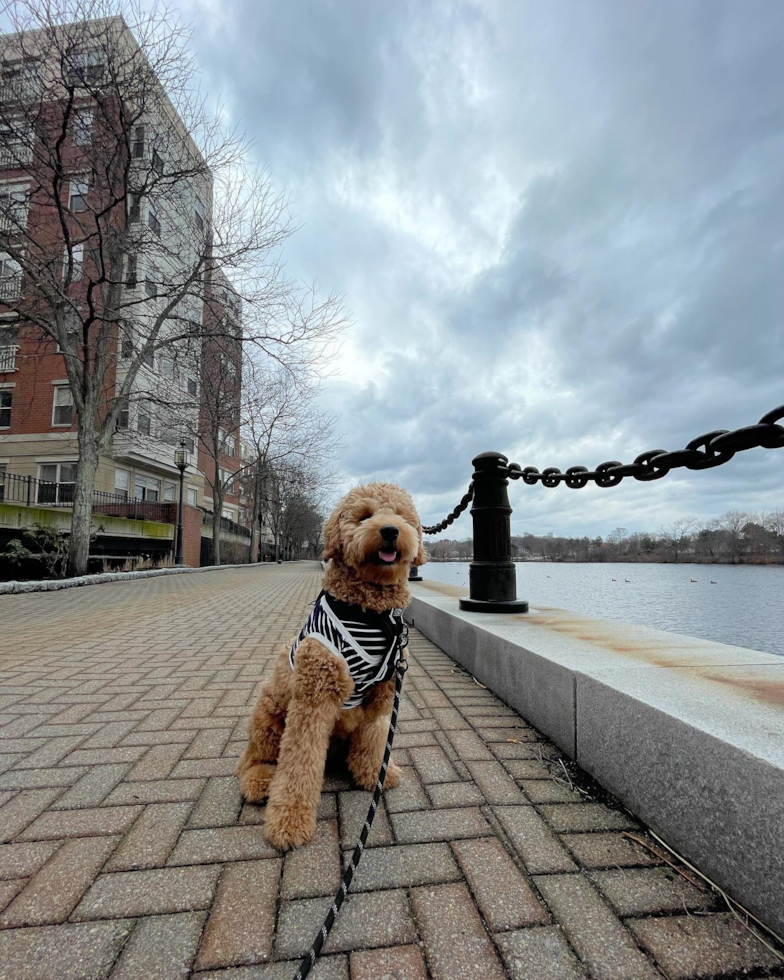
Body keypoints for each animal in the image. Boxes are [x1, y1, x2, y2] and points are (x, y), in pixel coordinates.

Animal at [237, 478, 426, 848]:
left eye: (401, 515)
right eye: (364, 516)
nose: (390, 530)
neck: (370, 614)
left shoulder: (382, 696)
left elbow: (375, 738)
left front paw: (374, 775)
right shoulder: (314, 699)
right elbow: (298, 765)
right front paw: (288, 822)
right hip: (268, 714)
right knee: (253, 760)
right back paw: (261, 781)